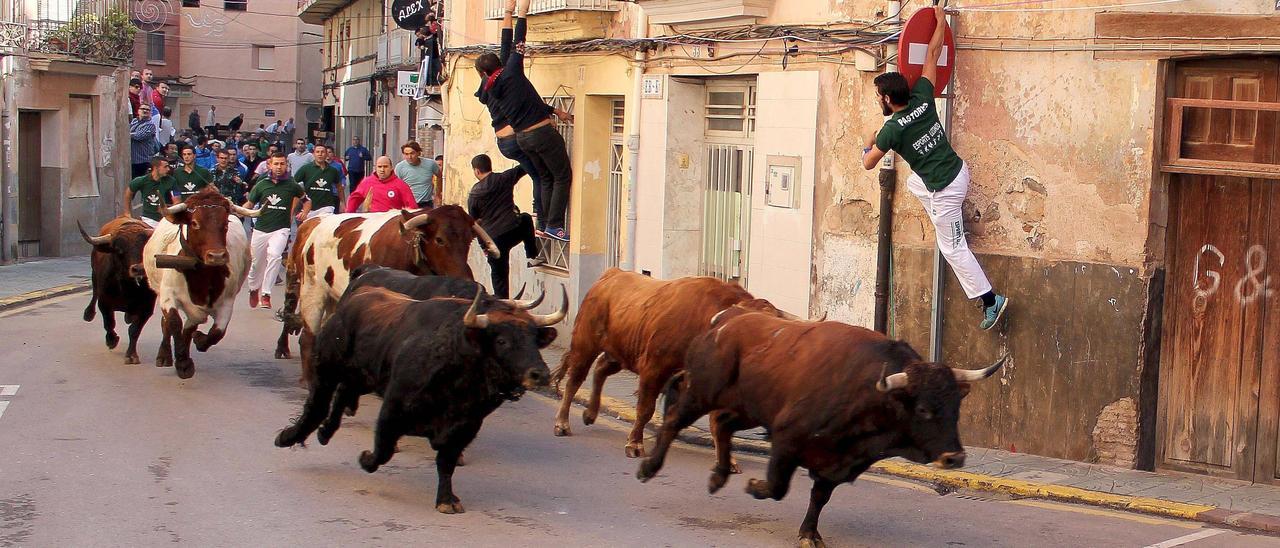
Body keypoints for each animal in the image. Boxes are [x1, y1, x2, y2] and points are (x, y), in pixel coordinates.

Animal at [142, 185, 259, 378]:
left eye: (225, 223)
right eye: (195, 223)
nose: (217, 256)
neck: (201, 277)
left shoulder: (226, 302)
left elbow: (216, 332)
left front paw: (195, 344)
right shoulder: (168, 295)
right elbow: (173, 322)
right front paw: (182, 363)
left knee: (191, 325)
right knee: (167, 324)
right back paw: (164, 355)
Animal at [552, 267, 793, 455]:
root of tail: (611, 275)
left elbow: (715, 422)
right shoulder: (654, 369)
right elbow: (645, 409)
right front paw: (635, 444)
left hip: (621, 351)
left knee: (600, 369)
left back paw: (590, 413)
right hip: (585, 344)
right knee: (574, 380)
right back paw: (562, 424)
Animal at [634, 308, 1003, 548]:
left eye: (956, 408)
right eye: (924, 409)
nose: (955, 457)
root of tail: (724, 322)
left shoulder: (836, 462)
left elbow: (819, 496)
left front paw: (809, 533)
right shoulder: (786, 438)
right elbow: (777, 486)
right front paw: (755, 486)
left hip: (750, 408)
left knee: (723, 424)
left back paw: (719, 475)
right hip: (702, 392)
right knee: (673, 421)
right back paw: (649, 467)